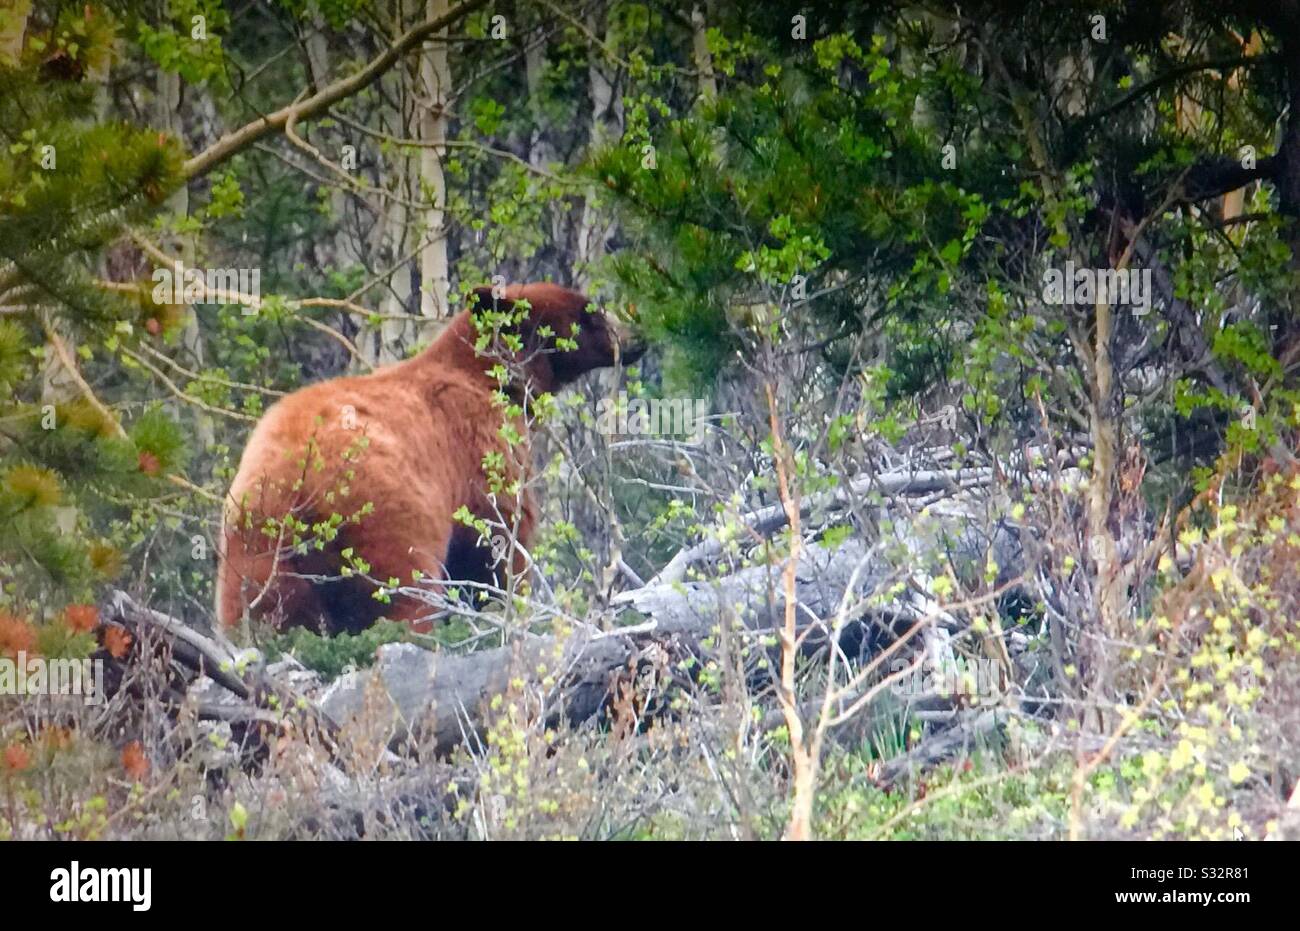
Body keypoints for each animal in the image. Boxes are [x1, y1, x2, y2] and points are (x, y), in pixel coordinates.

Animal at [215, 283, 642, 631]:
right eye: (589, 311)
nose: (637, 339)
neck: (490, 377)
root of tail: (297, 486)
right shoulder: (479, 446)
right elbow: (499, 535)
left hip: (255, 554)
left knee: (266, 612)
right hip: (386, 522)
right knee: (405, 595)